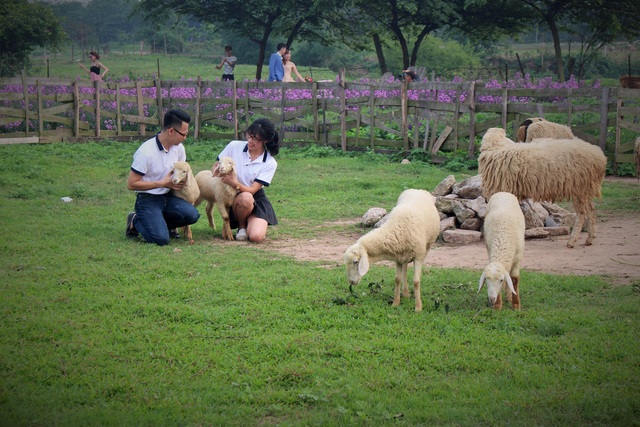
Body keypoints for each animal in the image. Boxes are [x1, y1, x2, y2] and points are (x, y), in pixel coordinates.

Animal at [478, 129, 608, 249]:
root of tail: (600, 157)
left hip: (579, 187)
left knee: (581, 214)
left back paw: (572, 241)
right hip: (586, 189)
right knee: (591, 210)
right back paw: (590, 238)